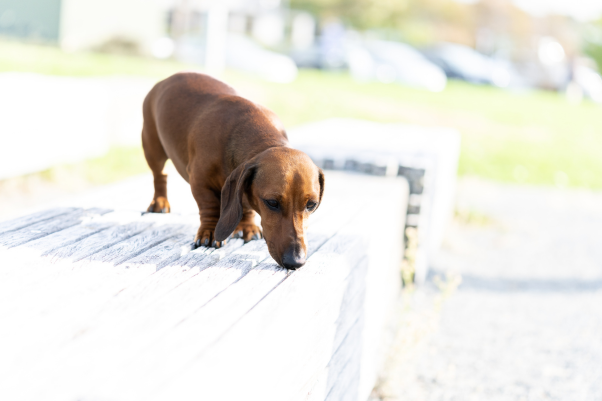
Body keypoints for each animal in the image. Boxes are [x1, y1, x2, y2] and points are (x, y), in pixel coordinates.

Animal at [140, 72, 324, 268]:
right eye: (272, 203)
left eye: (311, 205)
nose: (295, 261)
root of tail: (168, 78)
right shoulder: (199, 182)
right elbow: (210, 206)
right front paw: (210, 232)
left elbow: (247, 206)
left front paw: (246, 226)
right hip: (152, 148)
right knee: (160, 175)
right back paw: (159, 202)